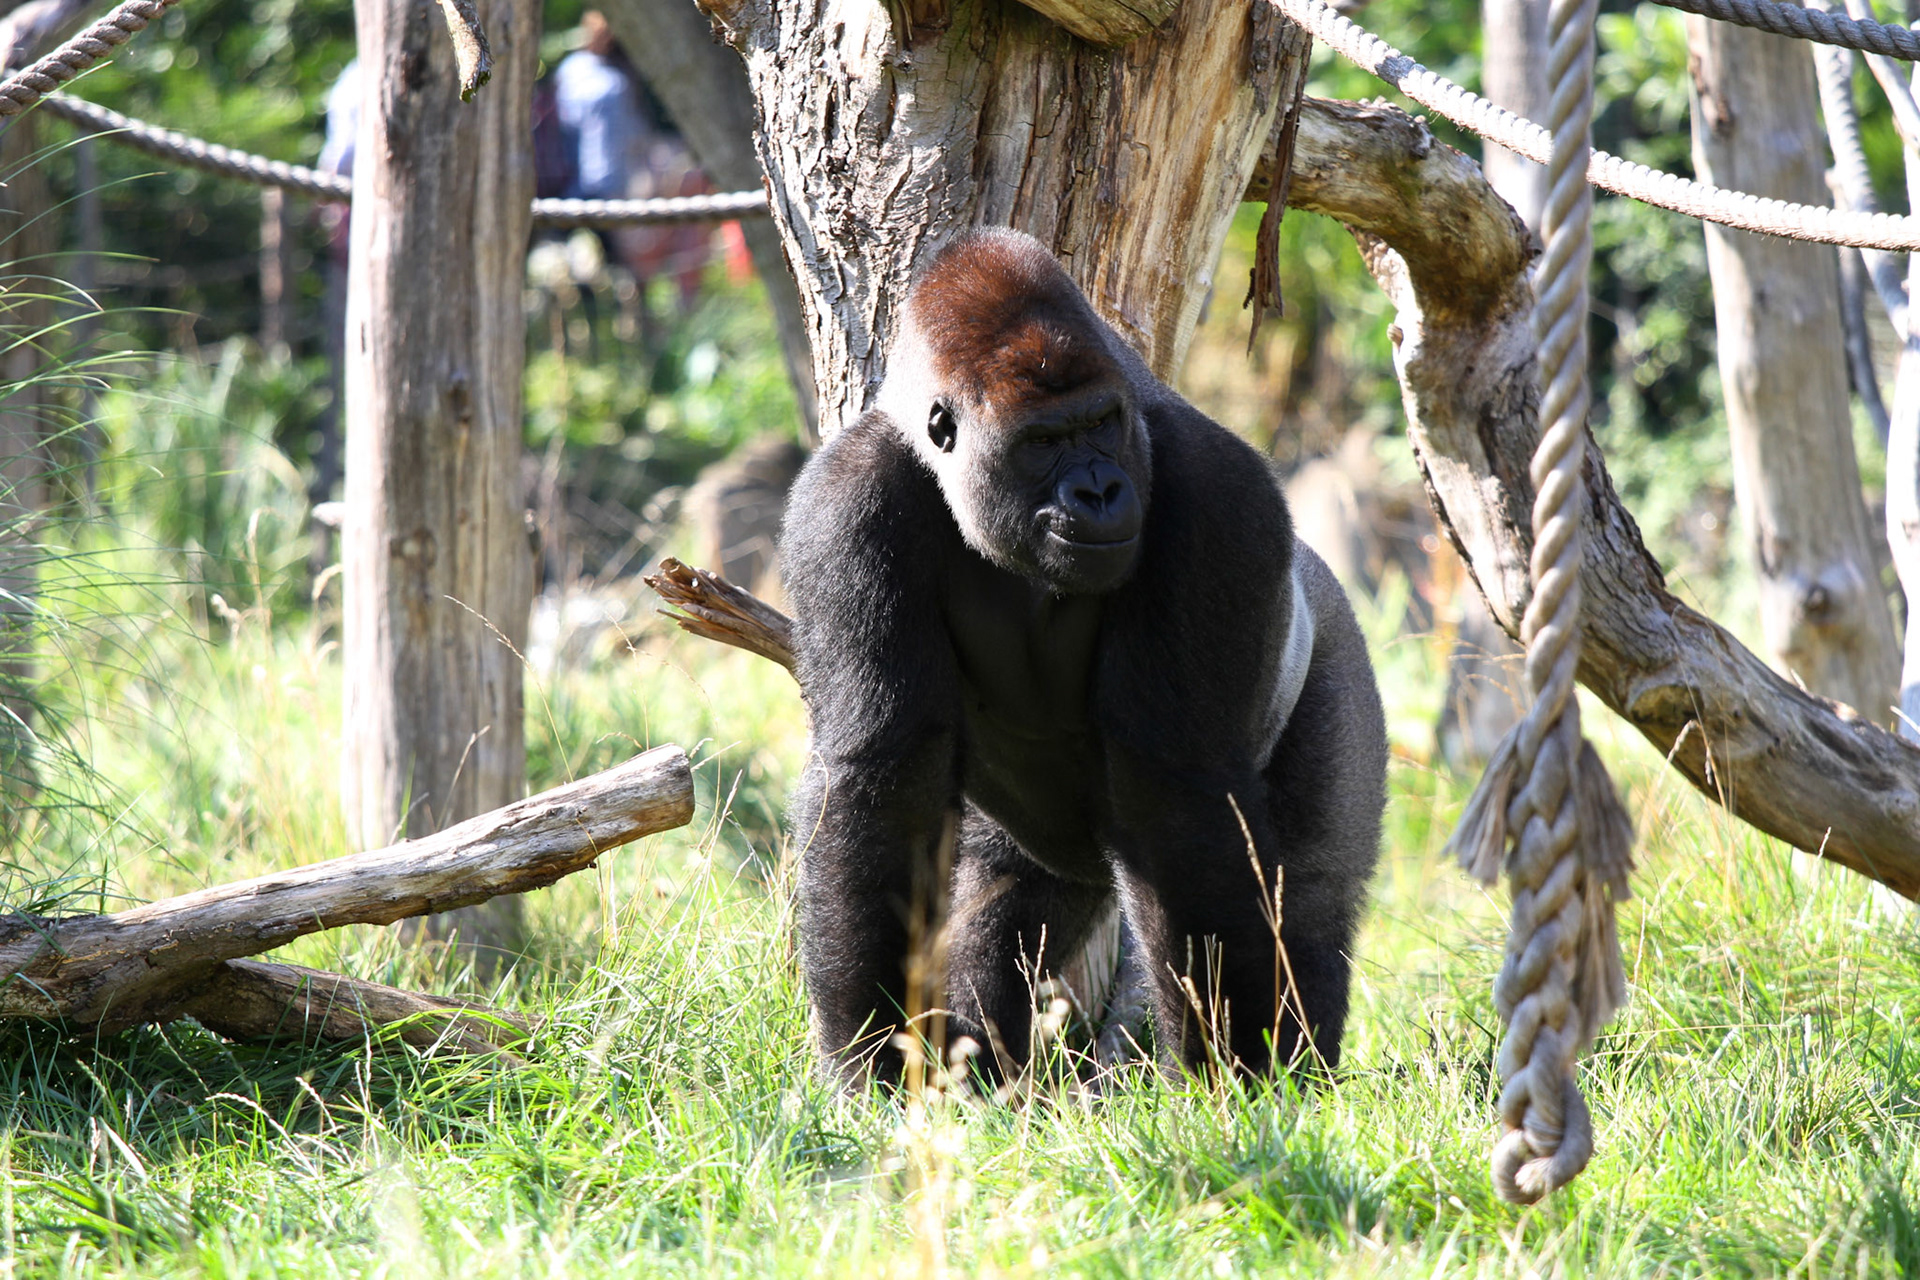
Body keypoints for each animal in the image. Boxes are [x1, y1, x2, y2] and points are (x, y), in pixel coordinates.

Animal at [778, 227, 1386, 1086]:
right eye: (1042, 443)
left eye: (1100, 424)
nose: (1099, 491)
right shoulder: (845, 500)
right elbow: (882, 778)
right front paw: (874, 1061)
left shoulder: (1217, 492)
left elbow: (1178, 790)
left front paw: (1233, 1076)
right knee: (1007, 898)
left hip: (1336, 652)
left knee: (1306, 897)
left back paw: (1297, 1075)